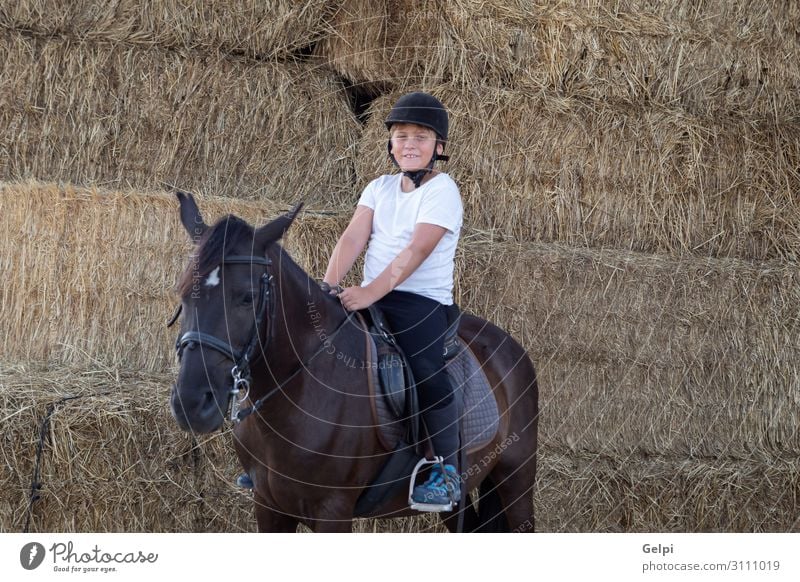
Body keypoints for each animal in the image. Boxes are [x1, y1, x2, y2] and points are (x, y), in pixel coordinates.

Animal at [171, 194, 540, 536]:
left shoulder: (333, 510)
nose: (192, 404)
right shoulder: (269, 506)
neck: (300, 388)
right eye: (183, 292)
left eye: (247, 297)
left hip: (516, 478)